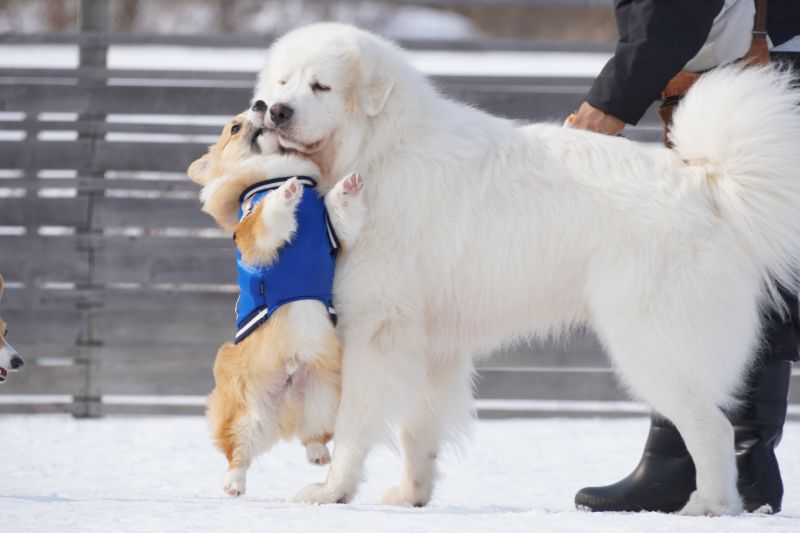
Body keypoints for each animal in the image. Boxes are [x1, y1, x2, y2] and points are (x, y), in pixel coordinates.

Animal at [189, 107, 364, 494]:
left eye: (256, 108)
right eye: (234, 128)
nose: (260, 105)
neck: (274, 170)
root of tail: (288, 385)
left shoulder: (333, 231)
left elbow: (340, 210)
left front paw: (349, 185)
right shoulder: (255, 236)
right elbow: (269, 216)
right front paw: (287, 192)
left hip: (323, 394)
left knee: (313, 435)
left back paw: (318, 455)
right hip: (247, 411)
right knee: (237, 452)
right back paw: (233, 484)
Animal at [252, 22, 800, 512]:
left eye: (320, 86)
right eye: (282, 82)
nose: (275, 110)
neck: (380, 152)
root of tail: (707, 181)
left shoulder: (375, 329)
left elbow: (354, 424)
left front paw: (332, 491)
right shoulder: (426, 345)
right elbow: (417, 430)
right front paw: (412, 495)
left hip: (653, 344)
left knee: (711, 427)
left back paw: (711, 505)